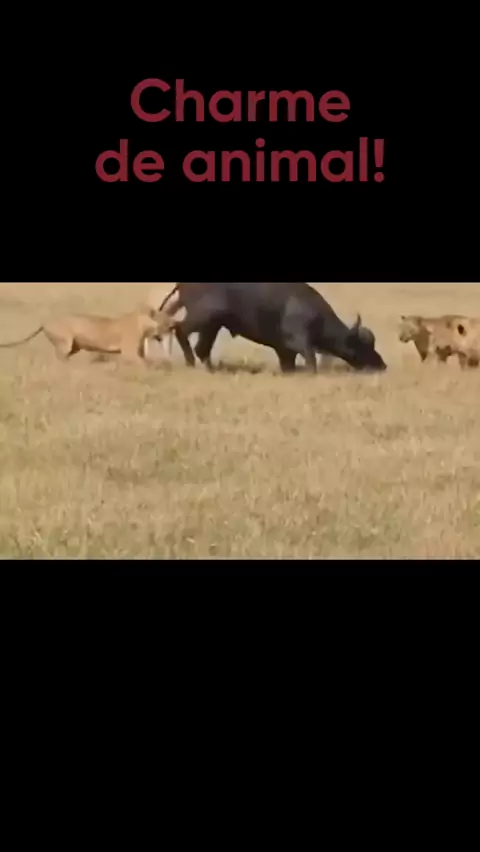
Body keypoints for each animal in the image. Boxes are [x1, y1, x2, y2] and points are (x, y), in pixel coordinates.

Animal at [0, 305, 177, 364]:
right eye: (166, 320)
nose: (174, 325)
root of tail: (45, 322)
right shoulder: (130, 352)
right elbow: (145, 364)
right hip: (65, 343)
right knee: (59, 357)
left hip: (74, 347)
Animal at [157, 282, 387, 373]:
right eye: (363, 346)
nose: (381, 364)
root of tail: (183, 283)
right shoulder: (299, 341)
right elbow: (311, 360)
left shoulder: (284, 351)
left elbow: (289, 365)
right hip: (204, 318)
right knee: (179, 329)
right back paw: (189, 361)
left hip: (213, 325)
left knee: (202, 348)